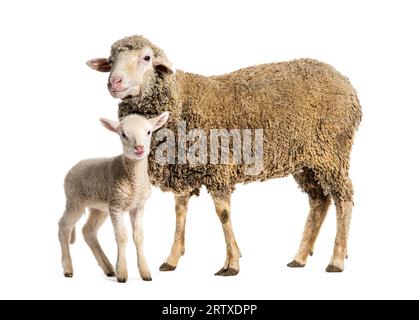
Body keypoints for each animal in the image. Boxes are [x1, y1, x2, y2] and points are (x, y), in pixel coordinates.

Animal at [58, 111, 170, 282]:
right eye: (123, 134)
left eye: (149, 132)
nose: (139, 148)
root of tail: (73, 168)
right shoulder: (116, 205)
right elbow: (122, 236)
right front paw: (122, 273)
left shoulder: (138, 206)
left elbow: (138, 236)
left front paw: (145, 272)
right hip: (75, 199)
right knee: (64, 226)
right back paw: (68, 269)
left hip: (100, 207)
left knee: (88, 231)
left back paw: (108, 268)